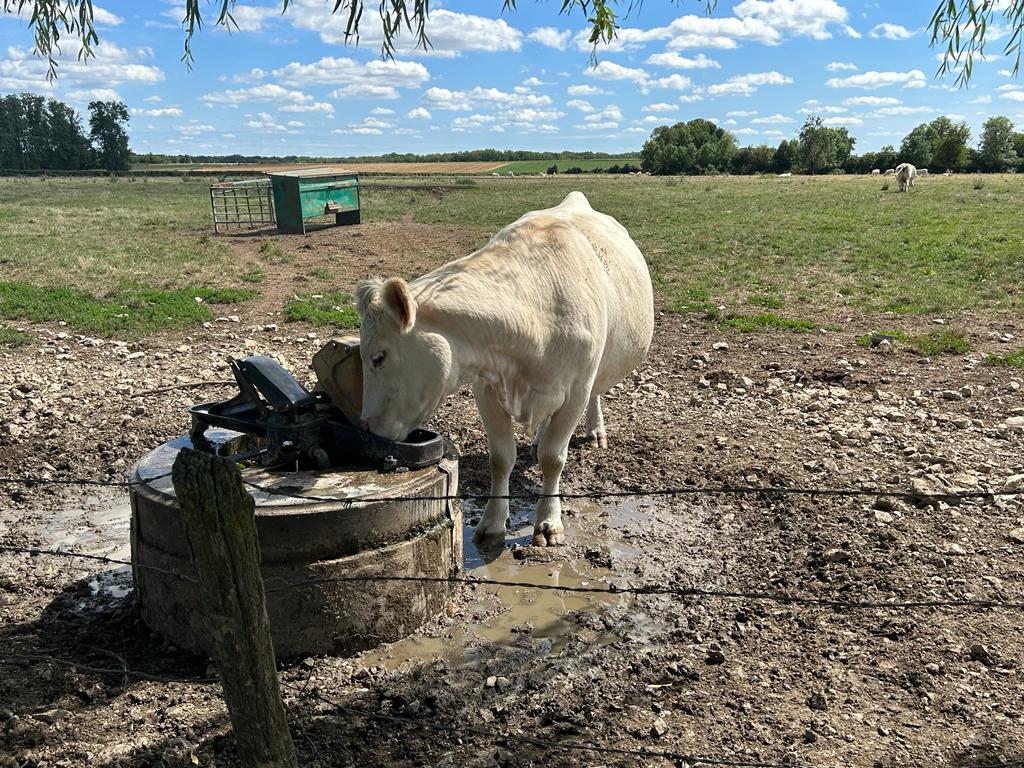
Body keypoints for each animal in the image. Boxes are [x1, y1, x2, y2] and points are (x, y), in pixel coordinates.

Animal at [356, 195, 651, 548]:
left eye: (378, 357)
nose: (367, 425)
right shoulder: (486, 389)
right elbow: (500, 458)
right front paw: (492, 523)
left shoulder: (576, 391)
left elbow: (554, 457)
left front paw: (549, 522)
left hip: (597, 367)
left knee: (594, 394)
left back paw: (594, 431)